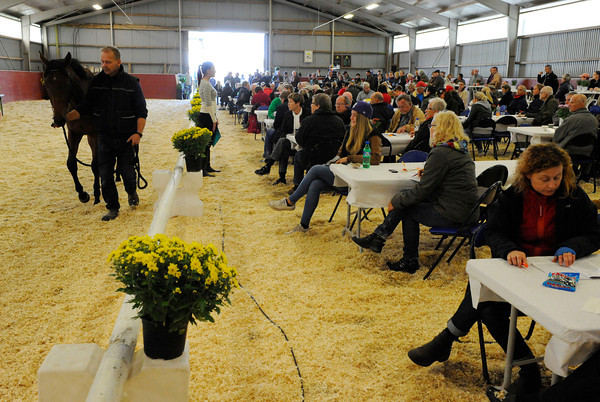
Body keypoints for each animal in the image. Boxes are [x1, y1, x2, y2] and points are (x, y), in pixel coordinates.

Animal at [40, 51, 101, 204]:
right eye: (46, 84)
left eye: (67, 83)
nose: (58, 120)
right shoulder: (74, 133)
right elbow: (71, 163)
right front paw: (82, 194)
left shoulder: (95, 134)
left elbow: (95, 164)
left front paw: (97, 192)